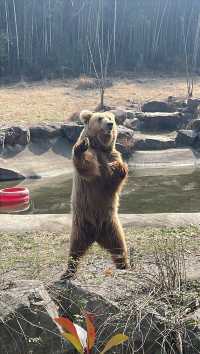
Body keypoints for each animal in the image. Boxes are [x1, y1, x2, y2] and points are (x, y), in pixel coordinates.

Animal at [61, 109, 129, 278]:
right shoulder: (93, 157)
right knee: (75, 249)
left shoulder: (112, 155)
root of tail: (96, 235)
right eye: (99, 118)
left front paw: (119, 167)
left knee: (119, 247)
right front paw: (80, 147)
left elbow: (112, 183)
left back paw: (124, 265)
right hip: (81, 225)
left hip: (111, 226)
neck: (102, 147)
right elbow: (87, 166)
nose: (109, 124)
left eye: (111, 118)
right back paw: (69, 270)